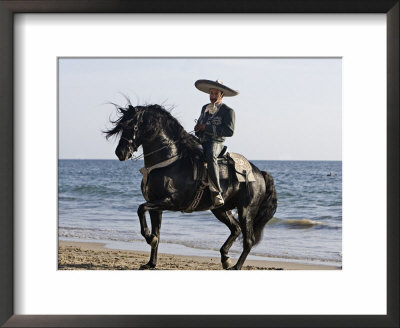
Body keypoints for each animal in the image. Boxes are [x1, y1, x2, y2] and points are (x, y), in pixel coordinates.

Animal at [104, 103, 276, 270]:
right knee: (236, 229)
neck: (170, 162)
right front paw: (151, 262)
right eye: (121, 126)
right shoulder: (156, 206)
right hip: (221, 209)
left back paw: (236, 266)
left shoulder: (171, 201)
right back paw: (225, 259)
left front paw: (149, 239)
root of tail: (259, 173)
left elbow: (141, 209)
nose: (120, 153)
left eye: (132, 126)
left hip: (246, 210)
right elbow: (156, 230)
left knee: (248, 240)